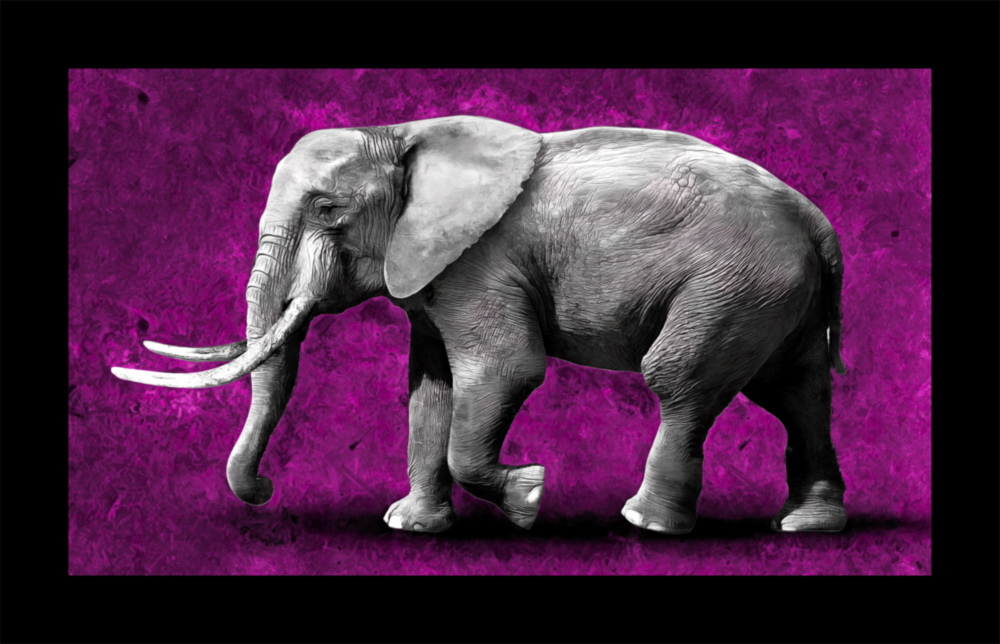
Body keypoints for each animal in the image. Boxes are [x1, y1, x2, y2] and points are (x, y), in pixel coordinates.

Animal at [112, 115, 849, 535]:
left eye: (326, 210)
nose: (264, 492)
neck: (404, 135)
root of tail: (818, 223)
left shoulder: (482, 262)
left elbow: (505, 369)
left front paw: (529, 496)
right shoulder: (433, 271)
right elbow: (430, 391)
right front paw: (411, 527)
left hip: (734, 283)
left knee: (681, 380)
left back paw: (648, 523)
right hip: (775, 294)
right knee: (798, 393)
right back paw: (807, 526)